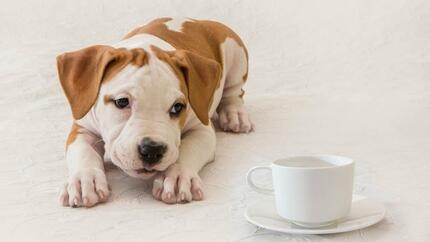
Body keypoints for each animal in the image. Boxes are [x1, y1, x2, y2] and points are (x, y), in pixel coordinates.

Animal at [57, 17, 252, 207]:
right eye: (122, 102)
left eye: (177, 107)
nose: (152, 150)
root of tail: (199, 21)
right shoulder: (83, 128)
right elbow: (83, 152)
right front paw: (84, 180)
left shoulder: (201, 129)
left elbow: (189, 148)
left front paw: (177, 175)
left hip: (236, 54)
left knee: (234, 92)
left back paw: (235, 115)